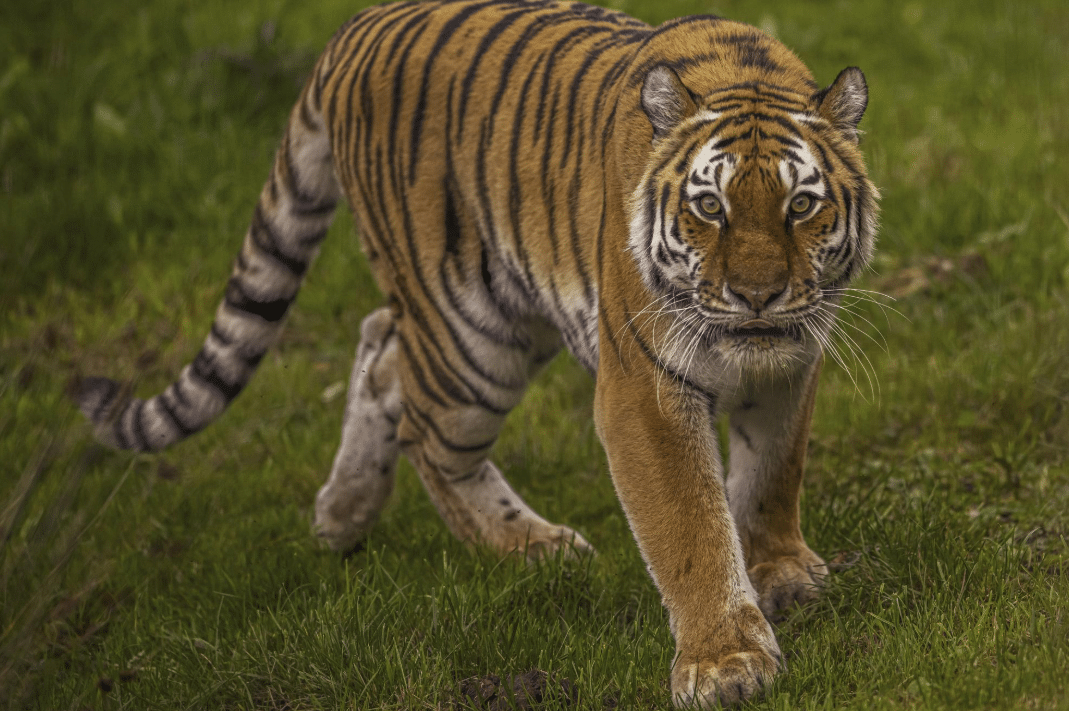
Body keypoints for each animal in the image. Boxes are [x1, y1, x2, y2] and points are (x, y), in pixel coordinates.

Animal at [75, 0, 879, 706]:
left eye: (800, 206)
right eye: (709, 206)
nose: (756, 295)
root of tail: (358, 25)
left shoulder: (792, 360)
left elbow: (772, 470)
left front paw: (780, 571)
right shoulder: (644, 389)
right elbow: (689, 524)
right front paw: (725, 662)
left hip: (505, 316)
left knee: (381, 345)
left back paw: (343, 514)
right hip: (470, 338)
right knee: (427, 432)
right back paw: (530, 545)